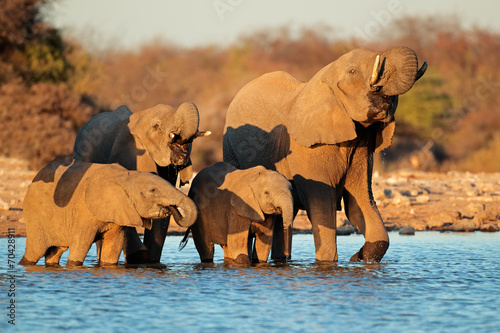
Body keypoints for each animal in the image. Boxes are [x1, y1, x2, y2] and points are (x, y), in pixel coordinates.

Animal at [18, 156, 197, 268]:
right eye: (153, 190)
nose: (173, 208)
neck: (127, 176)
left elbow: (112, 249)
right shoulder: (84, 211)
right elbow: (80, 247)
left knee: (54, 252)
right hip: (35, 215)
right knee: (35, 252)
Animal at [225, 46, 428, 262]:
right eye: (352, 72)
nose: (383, 94)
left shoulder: (361, 147)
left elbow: (360, 203)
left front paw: (357, 258)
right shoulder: (306, 149)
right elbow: (322, 208)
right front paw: (330, 262)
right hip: (230, 149)